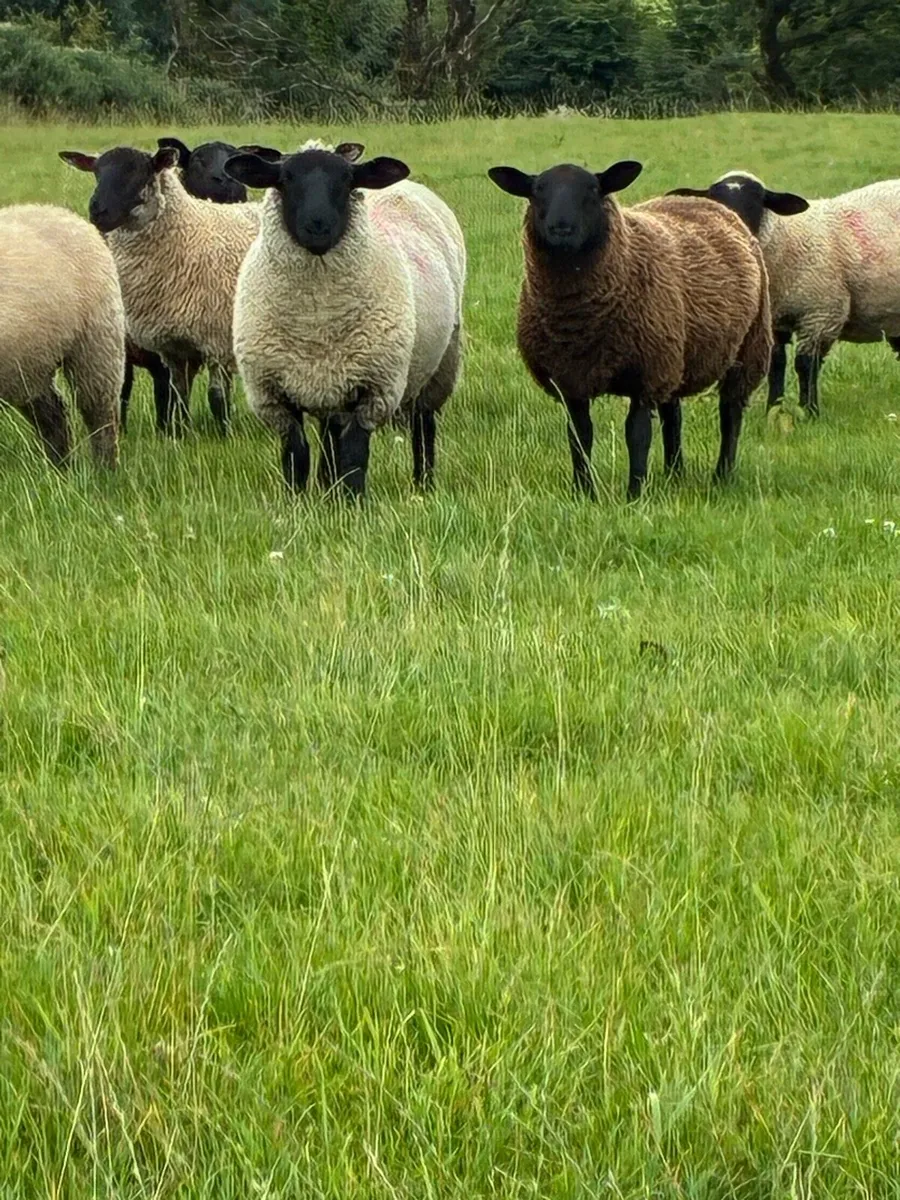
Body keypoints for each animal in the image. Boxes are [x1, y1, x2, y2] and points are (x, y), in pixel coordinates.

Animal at [0, 203, 124, 467]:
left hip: (97, 344)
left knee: (101, 416)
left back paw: (105, 469)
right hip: (31, 365)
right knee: (53, 414)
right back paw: (60, 467)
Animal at [58, 143, 262, 437]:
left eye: (140, 173)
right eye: (97, 173)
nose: (96, 211)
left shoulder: (217, 337)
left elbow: (216, 397)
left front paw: (225, 435)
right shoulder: (173, 347)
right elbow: (177, 396)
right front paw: (181, 435)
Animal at [224, 139, 466, 499]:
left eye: (346, 179)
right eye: (286, 178)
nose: (318, 225)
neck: (317, 319)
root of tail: (405, 186)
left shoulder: (374, 389)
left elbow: (354, 452)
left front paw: (352, 501)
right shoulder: (273, 395)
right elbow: (296, 453)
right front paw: (297, 501)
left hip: (440, 364)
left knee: (424, 426)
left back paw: (422, 484)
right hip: (332, 384)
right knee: (329, 434)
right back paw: (328, 486)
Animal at [487, 159, 772, 499]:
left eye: (593, 189)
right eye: (537, 190)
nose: (561, 229)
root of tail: (706, 203)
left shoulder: (644, 375)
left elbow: (637, 435)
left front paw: (634, 494)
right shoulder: (570, 380)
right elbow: (579, 436)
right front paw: (583, 493)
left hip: (747, 346)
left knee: (730, 413)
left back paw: (722, 475)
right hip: (674, 353)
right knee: (673, 416)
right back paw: (673, 474)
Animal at [667, 170, 900, 415]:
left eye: (758, 200)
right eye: (715, 200)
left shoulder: (821, 315)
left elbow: (806, 365)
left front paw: (810, 411)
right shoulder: (774, 320)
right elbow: (776, 364)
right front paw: (773, 410)